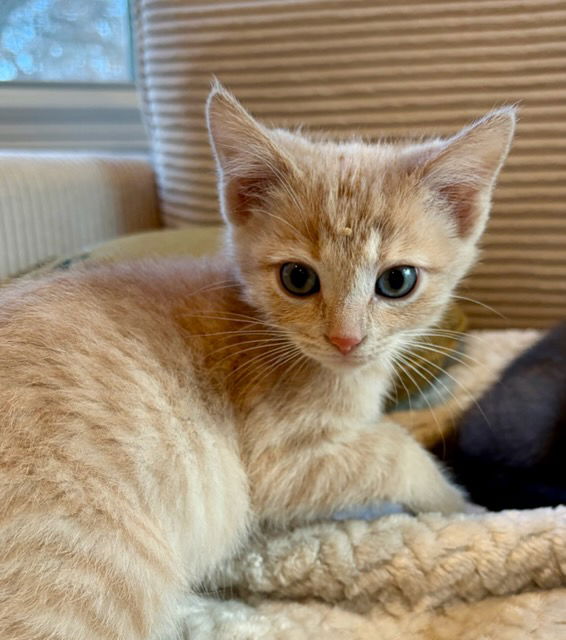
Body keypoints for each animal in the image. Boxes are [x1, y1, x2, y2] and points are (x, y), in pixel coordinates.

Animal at [0, 83, 515, 640]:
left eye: (397, 281)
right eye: (297, 278)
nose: (346, 340)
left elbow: (398, 425)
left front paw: (445, 416)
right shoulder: (279, 462)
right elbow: (394, 451)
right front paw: (460, 503)